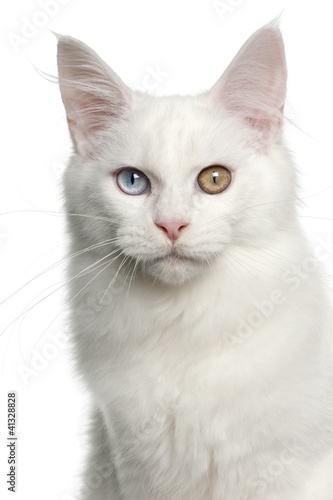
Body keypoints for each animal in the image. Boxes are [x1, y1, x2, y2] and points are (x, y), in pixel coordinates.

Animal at [57, 21, 332, 498]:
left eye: (214, 179)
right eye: (133, 182)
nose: (171, 225)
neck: (182, 321)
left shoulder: (275, 470)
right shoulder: (132, 462)